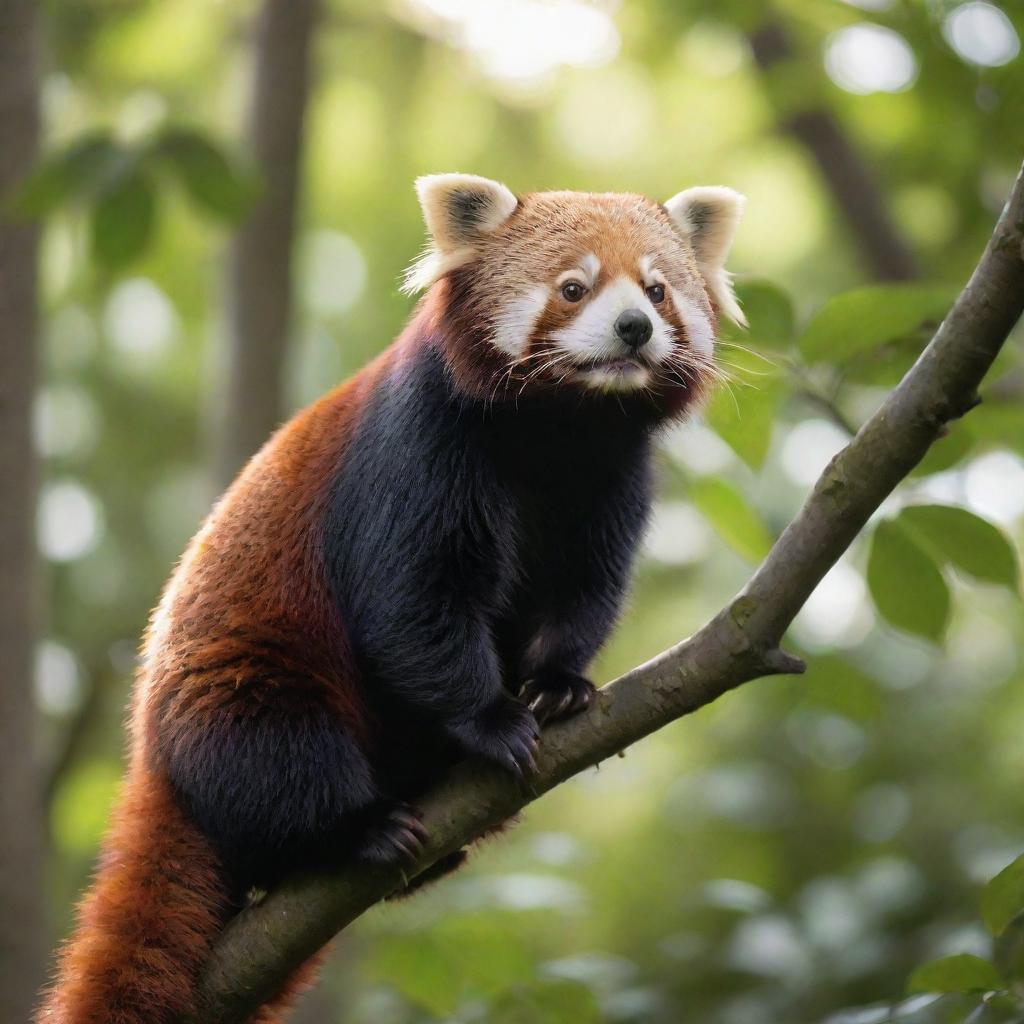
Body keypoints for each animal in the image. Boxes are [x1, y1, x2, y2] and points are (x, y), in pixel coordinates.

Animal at [37, 176, 745, 1024]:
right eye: (574, 287)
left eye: (657, 289)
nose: (634, 327)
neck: (557, 428)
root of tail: (150, 761)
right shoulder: (419, 446)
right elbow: (412, 605)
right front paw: (492, 719)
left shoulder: (609, 474)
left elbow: (581, 592)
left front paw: (558, 684)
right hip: (242, 682)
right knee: (276, 750)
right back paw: (356, 830)